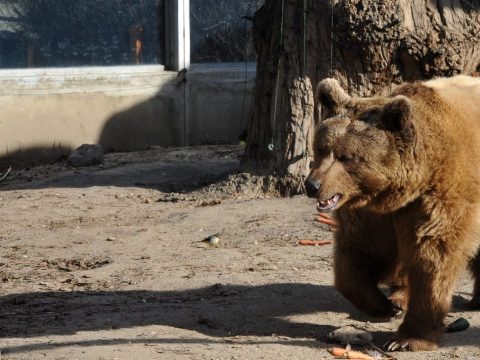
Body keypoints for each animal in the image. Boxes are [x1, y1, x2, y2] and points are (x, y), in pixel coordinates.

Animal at [306, 76, 478, 352]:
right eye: (321, 149)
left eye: (346, 157)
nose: (312, 185)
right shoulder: (374, 214)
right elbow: (361, 255)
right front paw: (383, 307)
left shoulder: (439, 198)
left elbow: (433, 258)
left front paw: (407, 339)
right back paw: (400, 297)